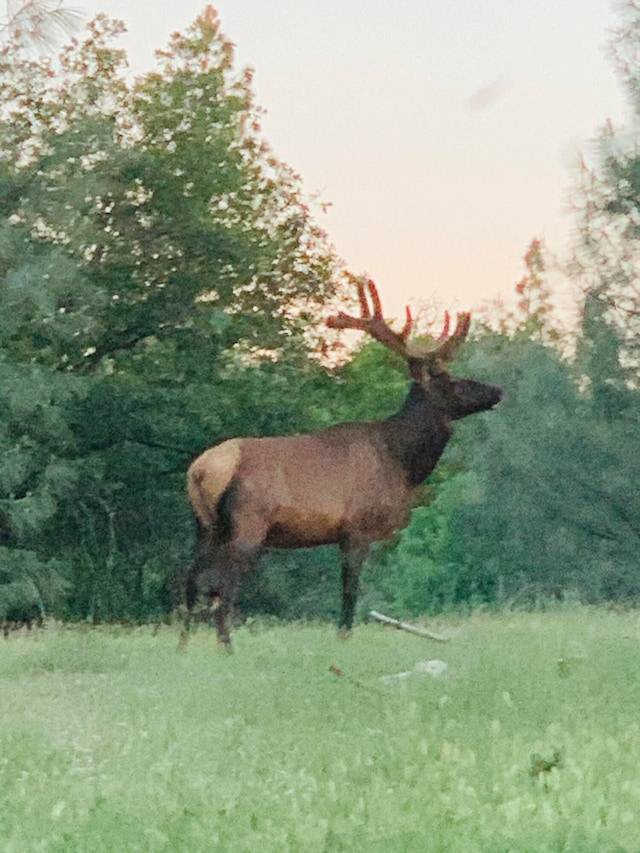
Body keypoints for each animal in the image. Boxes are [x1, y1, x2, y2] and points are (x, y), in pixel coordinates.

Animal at [182, 280, 502, 644]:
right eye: (451, 381)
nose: (497, 390)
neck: (402, 463)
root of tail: (199, 470)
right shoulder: (356, 527)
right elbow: (350, 592)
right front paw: (344, 638)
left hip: (204, 526)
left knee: (191, 582)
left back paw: (184, 647)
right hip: (247, 524)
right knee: (223, 589)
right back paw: (226, 647)